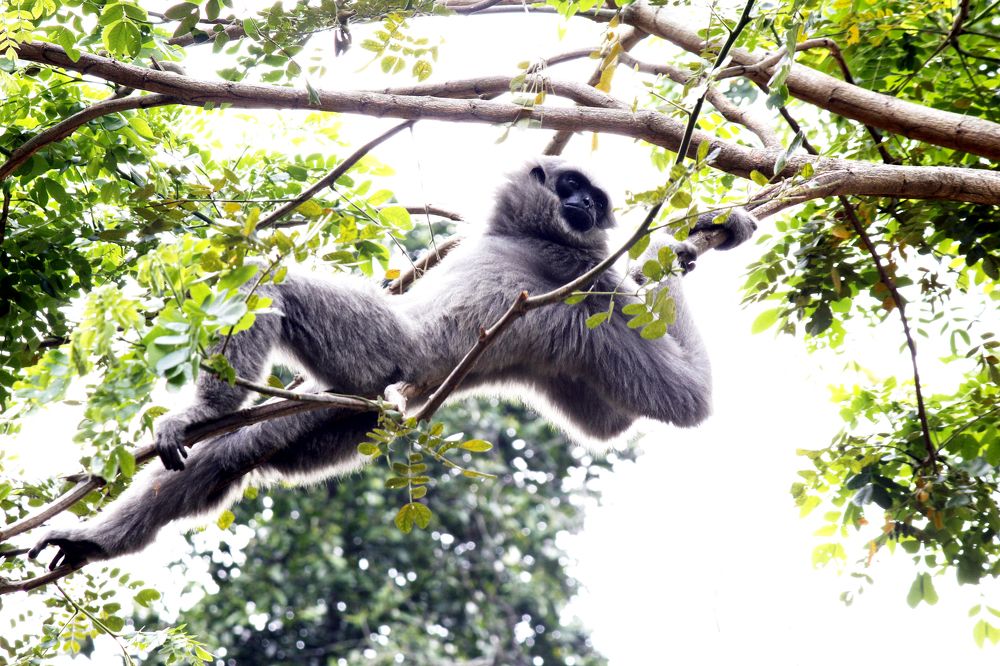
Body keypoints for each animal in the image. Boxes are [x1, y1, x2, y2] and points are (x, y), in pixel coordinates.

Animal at [28, 158, 757, 569]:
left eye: (595, 201)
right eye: (576, 188)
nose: (583, 206)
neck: (529, 238)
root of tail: (412, 392)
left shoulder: (588, 277)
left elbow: (687, 401)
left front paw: (692, 236)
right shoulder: (586, 278)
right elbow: (611, 423)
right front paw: (694, 239)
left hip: (378, 356)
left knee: (278, 289)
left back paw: (204, 411)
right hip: (354, 414)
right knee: (239, 453)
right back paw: (97, 539)